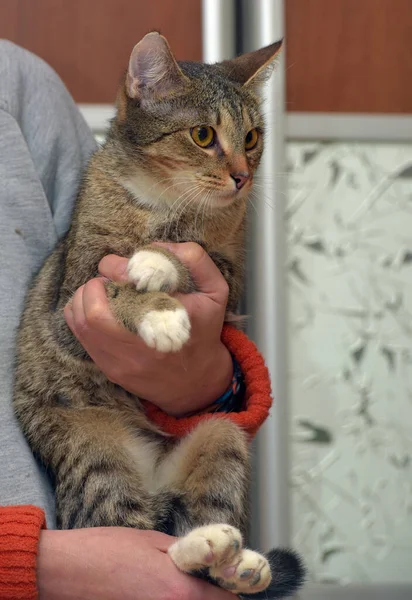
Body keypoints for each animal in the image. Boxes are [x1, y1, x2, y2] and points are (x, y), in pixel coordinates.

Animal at [13, 31, 302, 596]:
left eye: (252, 136)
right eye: (203, 134)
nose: (242, 178)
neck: (167, 207)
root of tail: (153, 479)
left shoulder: (230, 278)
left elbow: (192, 256)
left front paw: (156, 263)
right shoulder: (68, 301)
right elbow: (112, 284)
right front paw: (161, 313)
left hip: (220, 433)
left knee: (189, 533)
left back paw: (229, 559)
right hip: (90, 444)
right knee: (122, 524)